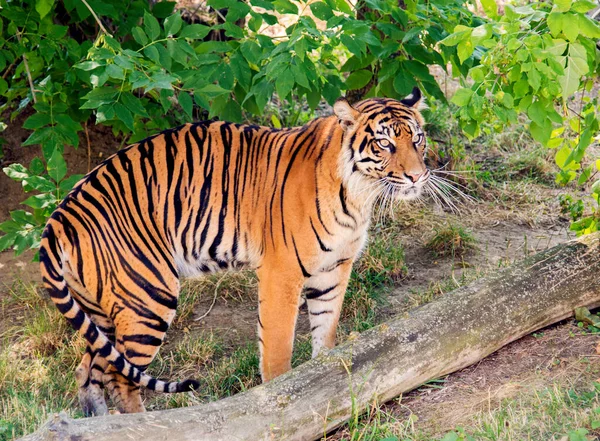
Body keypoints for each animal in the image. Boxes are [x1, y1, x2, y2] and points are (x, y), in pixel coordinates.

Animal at [39, 86, 428, 412]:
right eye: (384, 144)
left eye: (418, 139)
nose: (417, 176)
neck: (358, 196)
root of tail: (61, 215)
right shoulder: (282, 273)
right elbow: (277, 351)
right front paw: (283, 396)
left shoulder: (333, 268)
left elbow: (325, 333)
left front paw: (325, 378)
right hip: (147, 299)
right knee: (120, 377)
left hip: (101, 311)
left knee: (88, 370)